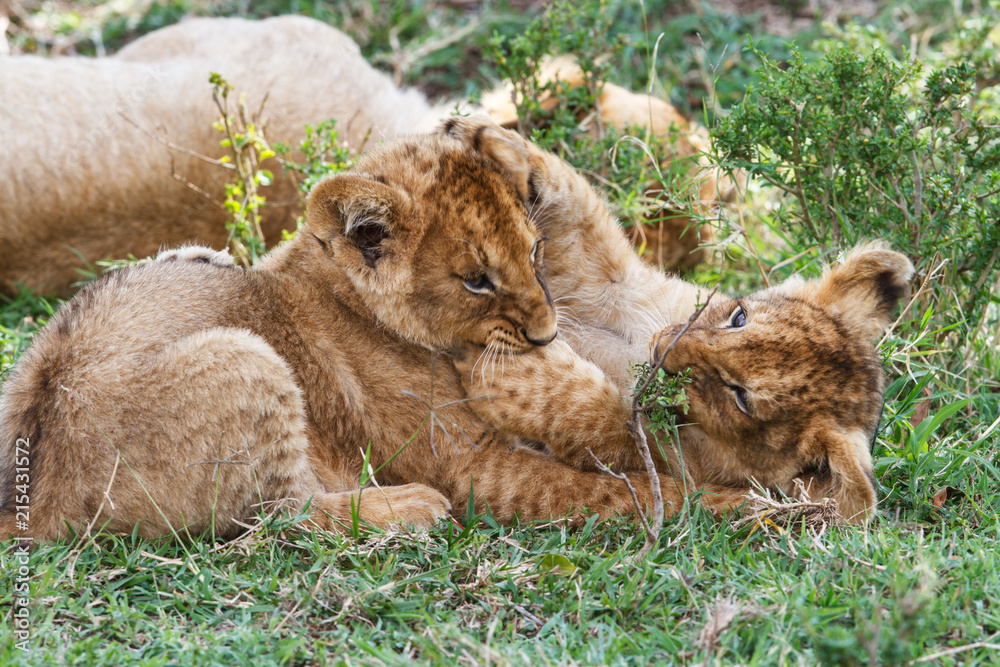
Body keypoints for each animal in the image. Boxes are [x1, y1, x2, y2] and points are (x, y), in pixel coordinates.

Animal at [0, 118, 910, 542]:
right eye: (476, 277)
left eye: (529, 254)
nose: (542, 334)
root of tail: (34, 494)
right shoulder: (475, 459)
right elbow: (629, 488)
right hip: (241, 349)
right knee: (278, 516)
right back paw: (409, 505)